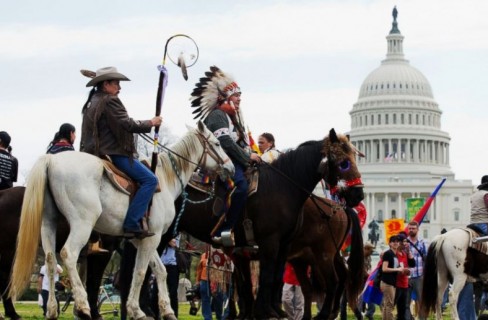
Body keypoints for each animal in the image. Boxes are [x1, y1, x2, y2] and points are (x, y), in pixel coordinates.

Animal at [0, 188, 120, 320]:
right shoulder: (102, 253)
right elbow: (93, 282)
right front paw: (94, 313)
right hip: (8, 250)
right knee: (5, 279)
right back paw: (12, 313)